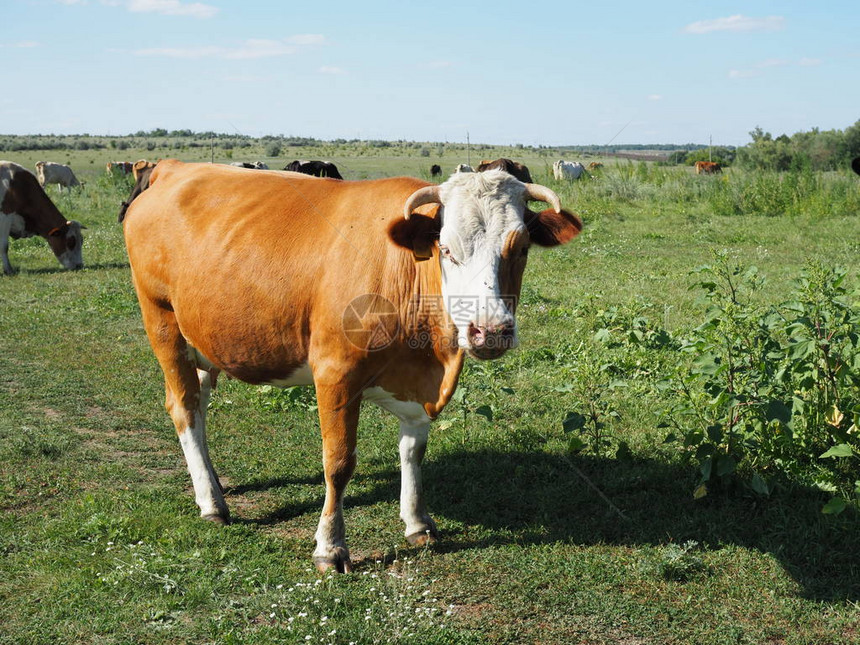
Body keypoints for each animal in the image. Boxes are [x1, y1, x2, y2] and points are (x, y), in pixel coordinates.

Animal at [121, 160, 580, 568]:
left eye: (520, 249)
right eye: (447, 249)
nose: (490, 330)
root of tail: (173, 167)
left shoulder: (419, 386)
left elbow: (414, 451)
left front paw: (418, 522)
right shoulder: (335, 373)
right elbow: (338, 463)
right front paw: (330, 547)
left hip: (205, 337)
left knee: (199, 405)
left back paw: (213, 485)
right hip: (162, 322)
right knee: (183, 407)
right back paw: (211, 503)